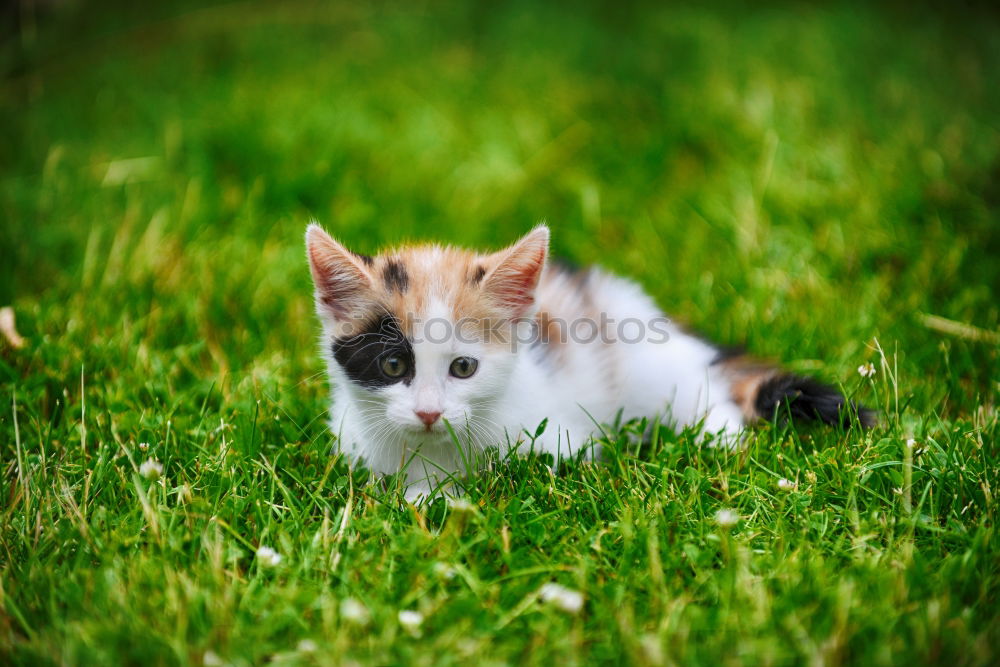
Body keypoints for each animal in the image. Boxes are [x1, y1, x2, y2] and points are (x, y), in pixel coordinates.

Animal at [306, 226, 876, 500]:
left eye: (463, 368)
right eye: (393, 367)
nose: (429, 414)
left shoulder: (557, 442)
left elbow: (509, 473)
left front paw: (433, 496)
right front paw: (418, 494)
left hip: (650, 365)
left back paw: (717, 437)